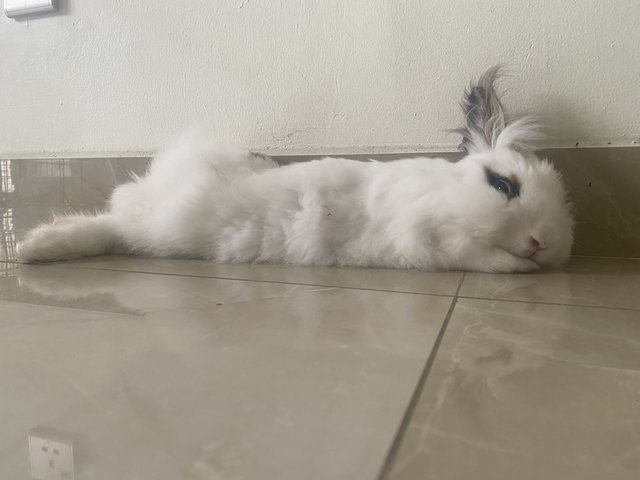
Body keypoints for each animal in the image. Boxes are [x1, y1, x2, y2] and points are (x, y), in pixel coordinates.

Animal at [16, 65, 576, 272]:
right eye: (502, 184)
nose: (545, 240)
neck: (442, 191)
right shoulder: (430, 236)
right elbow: (482, 257)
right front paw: (521, 265)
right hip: (160, 227)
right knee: (110, 227)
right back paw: (32, 248)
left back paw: (32, 246)